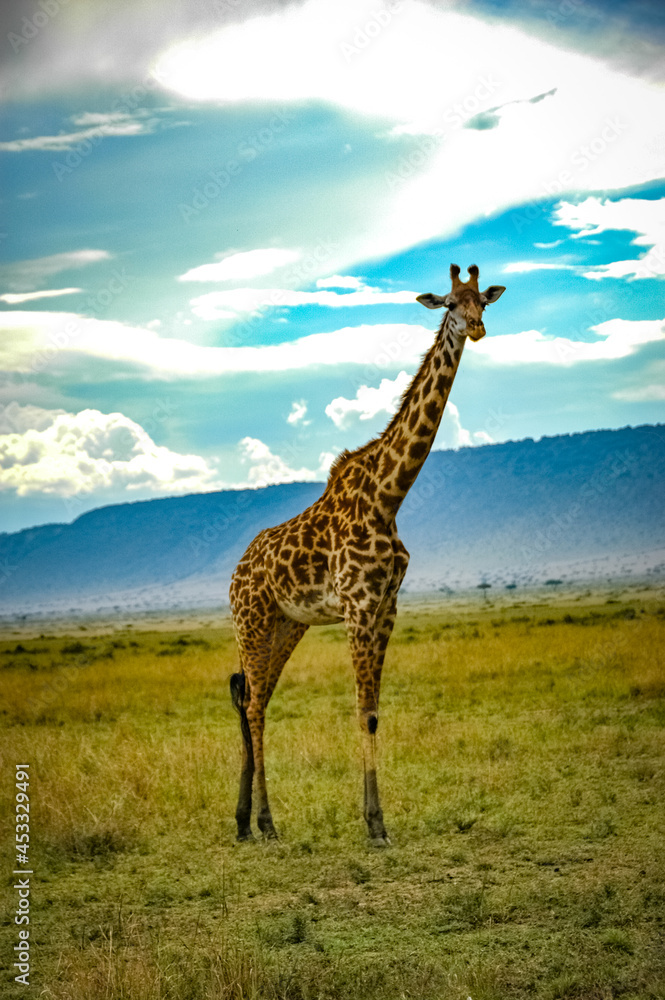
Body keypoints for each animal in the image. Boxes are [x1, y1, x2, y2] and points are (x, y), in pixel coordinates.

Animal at [229, 263, 505, 845]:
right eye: (450, 303)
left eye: (484, 302)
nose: (475, 329)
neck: (388, 496)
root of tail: (235, 573)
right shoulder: (358, 609)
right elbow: (361, 712)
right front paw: (374, 825)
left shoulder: (386, 608)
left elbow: (375, 711)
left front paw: (379, 820)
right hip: (252, 621)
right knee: (255, 706)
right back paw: (265, 822)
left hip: (288, 625)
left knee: (255, 700)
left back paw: (245, 822)